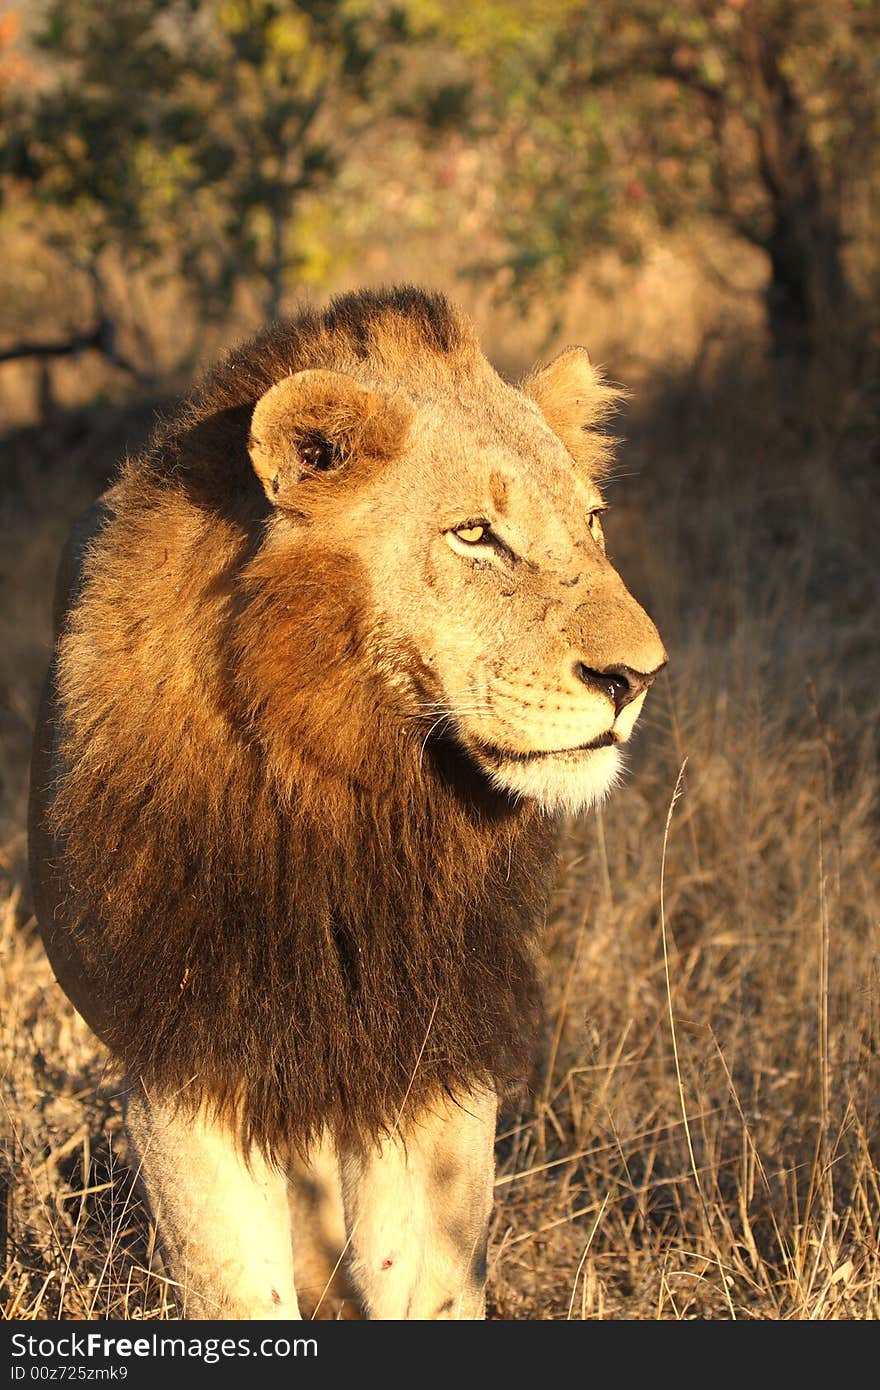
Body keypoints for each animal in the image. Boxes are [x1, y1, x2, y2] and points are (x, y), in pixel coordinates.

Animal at [30, 282, 664, 1312]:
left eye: (594, 524)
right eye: (475, 535)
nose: (636, 677)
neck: (346, 785)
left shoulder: (431, 1050)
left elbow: (429, 1275)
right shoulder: (182, 1064)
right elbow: (237, 1288)